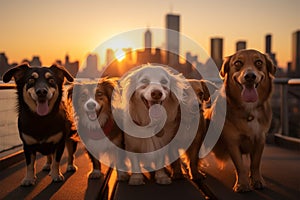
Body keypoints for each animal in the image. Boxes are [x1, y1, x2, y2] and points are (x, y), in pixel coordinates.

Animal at [206, 48, 276, 192]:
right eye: (238, 63)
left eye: (259, 62)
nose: (250, 76)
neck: (249, 110)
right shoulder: (232, 142)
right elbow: (240, 165)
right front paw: (242, 184)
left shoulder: (260, 139)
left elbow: (255, 164)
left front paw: (257, 180)